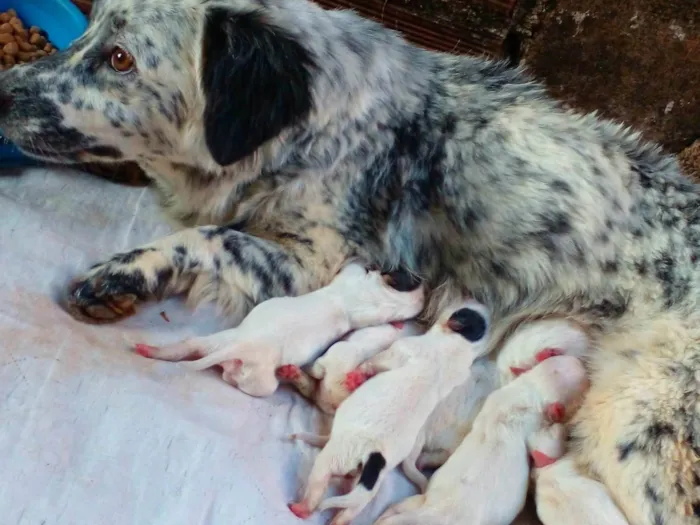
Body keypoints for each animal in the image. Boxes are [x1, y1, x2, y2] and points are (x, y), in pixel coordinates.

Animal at [134, 264, 424, 396]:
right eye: (407, 273)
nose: (424, 281)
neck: (383, 296)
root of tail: (243, 345)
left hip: (254, 375)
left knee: (199, 356)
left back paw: (149, 350)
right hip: (223, 344)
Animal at [288, 298, 490, 524]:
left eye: (462, 310)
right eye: (468, 305)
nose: (466, 297)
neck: (459, 347)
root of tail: (374, 460)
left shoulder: (399, 351)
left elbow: (373, 362)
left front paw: (359, 374)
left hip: (332, 459)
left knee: (317, 487)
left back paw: (301, 508)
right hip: (365, 490)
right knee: (350, 509)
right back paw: (338, 520)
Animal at [374, 354, 588, 524]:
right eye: (581, 388)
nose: (580, 362)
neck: (528, 390)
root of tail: (431, 515)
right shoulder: (534, 427)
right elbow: (546, 448)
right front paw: (562, 428)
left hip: (419, 500)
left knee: (401, 504)